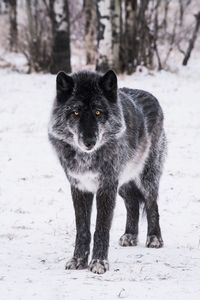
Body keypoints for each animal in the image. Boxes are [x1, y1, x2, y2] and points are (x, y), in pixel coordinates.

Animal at [48, 69, 167, 274]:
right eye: (76, 113)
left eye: (98, 112)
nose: (89, 142)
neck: (87, 158)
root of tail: (151, 96)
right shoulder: (80, 187)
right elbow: (83, 229)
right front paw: (78, 260)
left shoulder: (106, 187)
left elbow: (101, 228)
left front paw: (98, 263)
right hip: (123, 184)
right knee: (132, 203)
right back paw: (130, 235)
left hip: (146, 179)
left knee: (152, 204)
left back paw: (154, 239)